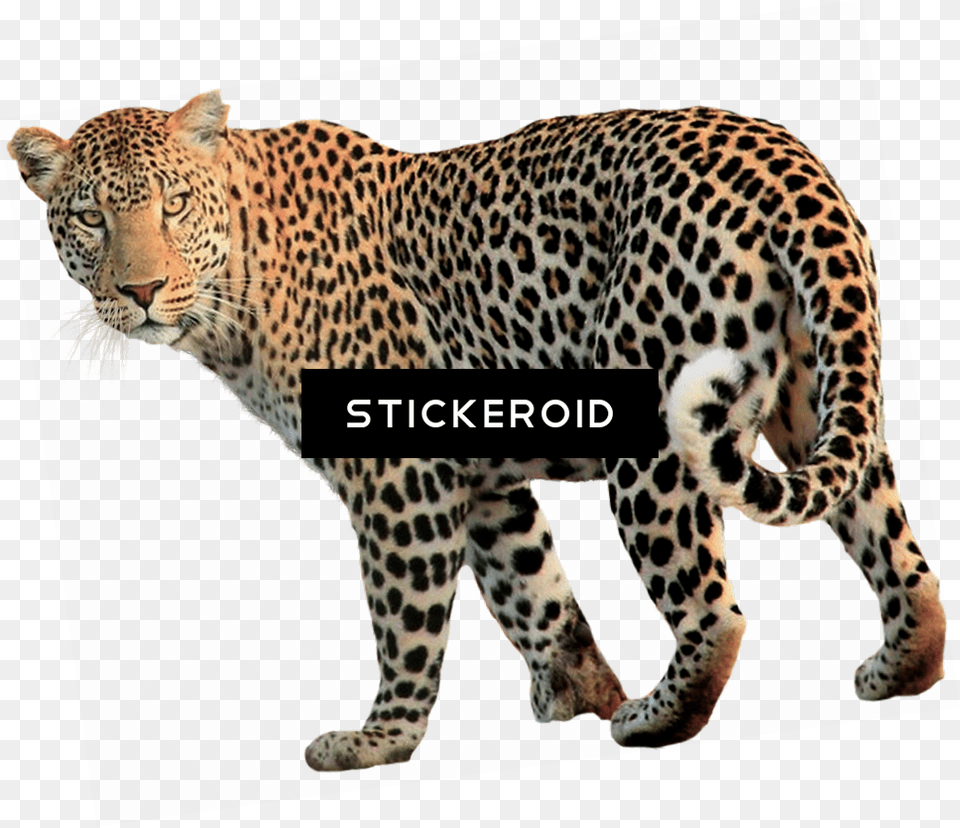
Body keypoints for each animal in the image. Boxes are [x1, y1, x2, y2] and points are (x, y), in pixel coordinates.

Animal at [9, 91, 946, 771]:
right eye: (89, 217)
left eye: (171, 205)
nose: (140, 290)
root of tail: (786, 160)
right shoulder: (480, 476)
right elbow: (533, 591)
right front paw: (578, 692)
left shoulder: (398, 475)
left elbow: (406, 618)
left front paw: (380, 740)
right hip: (819, 398)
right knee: (899, 550)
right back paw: (899, 666)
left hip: (659, 434)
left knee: (716, 614)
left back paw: (653, 720)